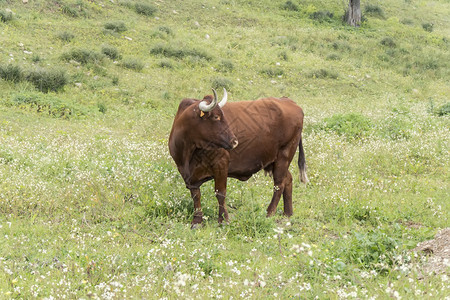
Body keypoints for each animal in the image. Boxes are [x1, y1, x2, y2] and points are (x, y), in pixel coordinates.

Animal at [167, 88, 308, 225]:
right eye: (216, 117)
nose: (234, 141)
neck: (188, 151)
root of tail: (289, 101)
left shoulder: (221, 164)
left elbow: (220, 193)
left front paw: (223, 220)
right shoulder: (187, 174)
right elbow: (196, 195)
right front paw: (197, 221)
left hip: (284, 156)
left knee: (279, 184)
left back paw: (269, 213)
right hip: (274, 161)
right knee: (287, 179)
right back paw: (288, 213)